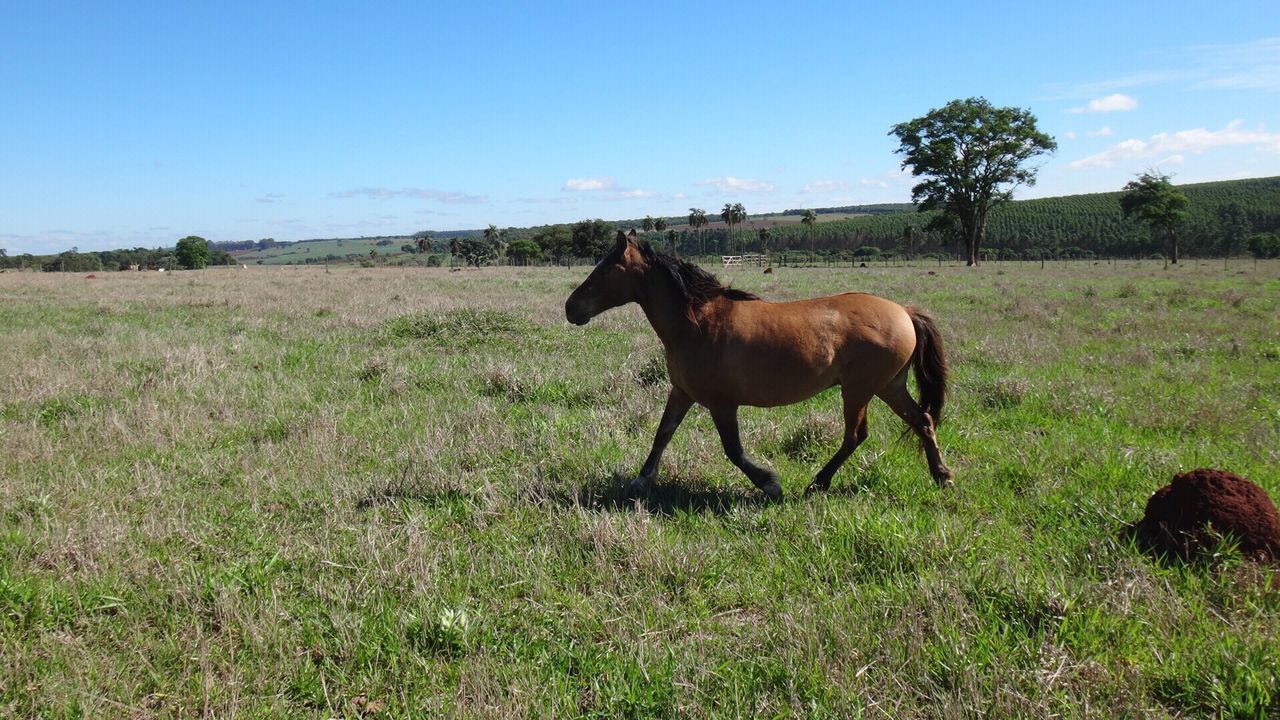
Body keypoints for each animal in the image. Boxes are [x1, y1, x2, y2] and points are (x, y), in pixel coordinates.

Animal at [565, 229, 957, 499]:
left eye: (604, 271)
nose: (571, 308)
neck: (697, 322)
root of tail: (904, 311)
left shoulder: (722, 404)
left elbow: (734, 450)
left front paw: (769, 484)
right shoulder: (681, 392)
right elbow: (662, 435)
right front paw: (640, 480)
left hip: (859, 390)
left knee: (856, 435)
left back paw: (818, 482)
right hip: (889, 386)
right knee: (922, 421)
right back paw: (942, 475)